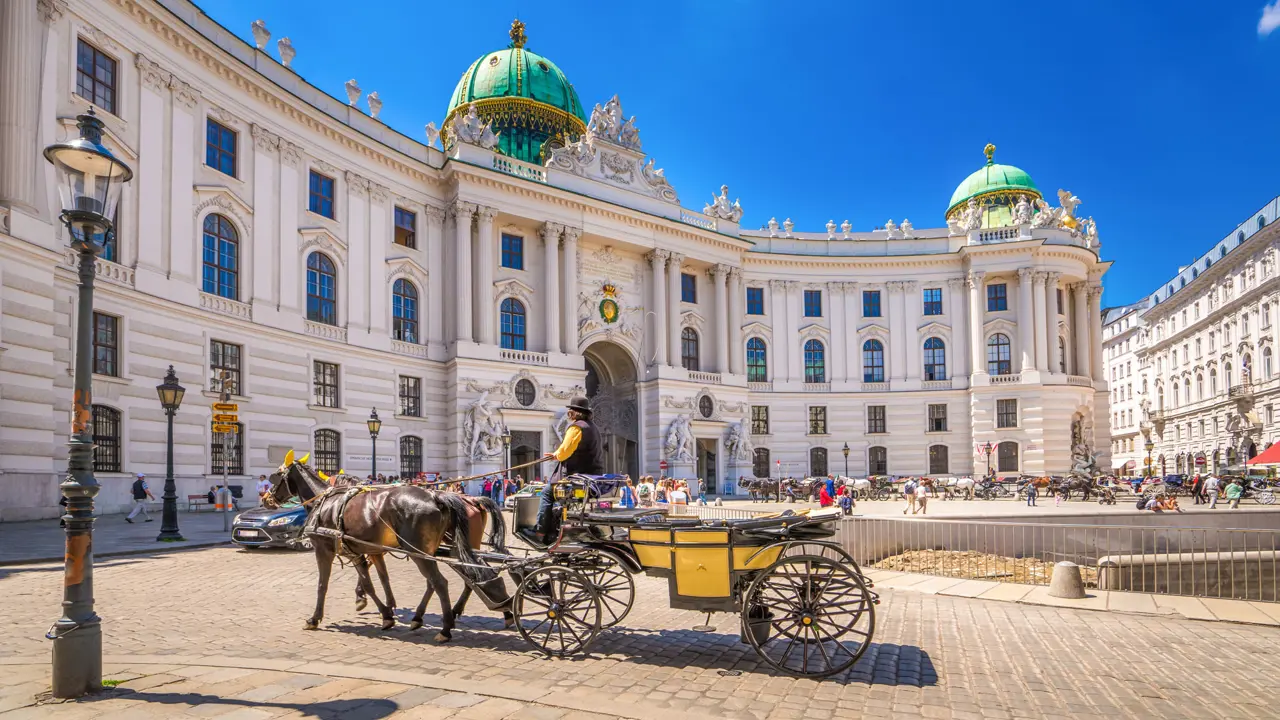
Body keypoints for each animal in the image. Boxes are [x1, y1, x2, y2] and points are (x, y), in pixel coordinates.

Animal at [266, 453, 509, 638]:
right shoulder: (366, 551)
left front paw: (315, 618)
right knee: (466, 576)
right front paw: (386, 611)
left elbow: (323, 585)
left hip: (424, 551)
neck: (327, 503)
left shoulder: (325, 549)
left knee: (443, 582)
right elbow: (377, 581)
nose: (267, 499)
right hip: (445, 550)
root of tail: (438, 498)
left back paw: (446, 627)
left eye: (276, 476)